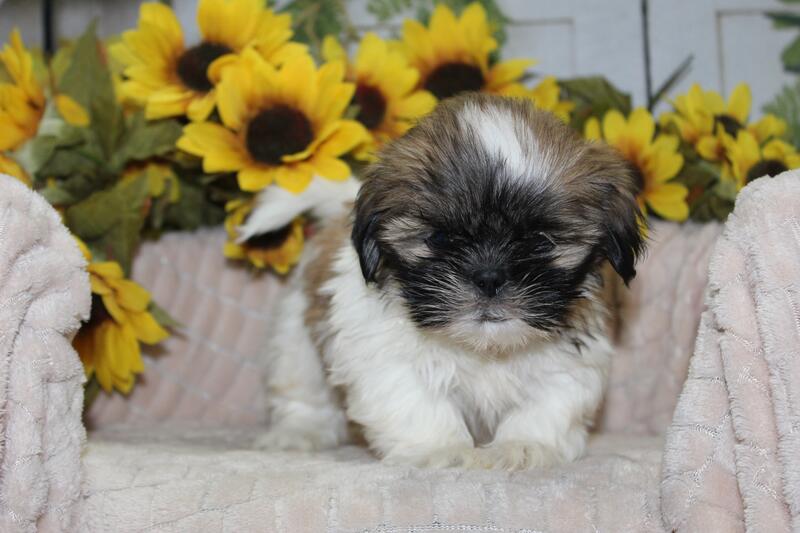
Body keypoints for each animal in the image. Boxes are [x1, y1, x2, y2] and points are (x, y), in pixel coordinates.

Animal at [254, 93, 644, 470]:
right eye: (439, 239)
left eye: (540, 241)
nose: (489, 277)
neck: (484, 348)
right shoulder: (382, 352)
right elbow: (416, 402)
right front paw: (441, 449)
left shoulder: (572, 358)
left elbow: (549, 403)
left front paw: (523, 446)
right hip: (297, 338)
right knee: (303, 388)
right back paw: (299, 431)